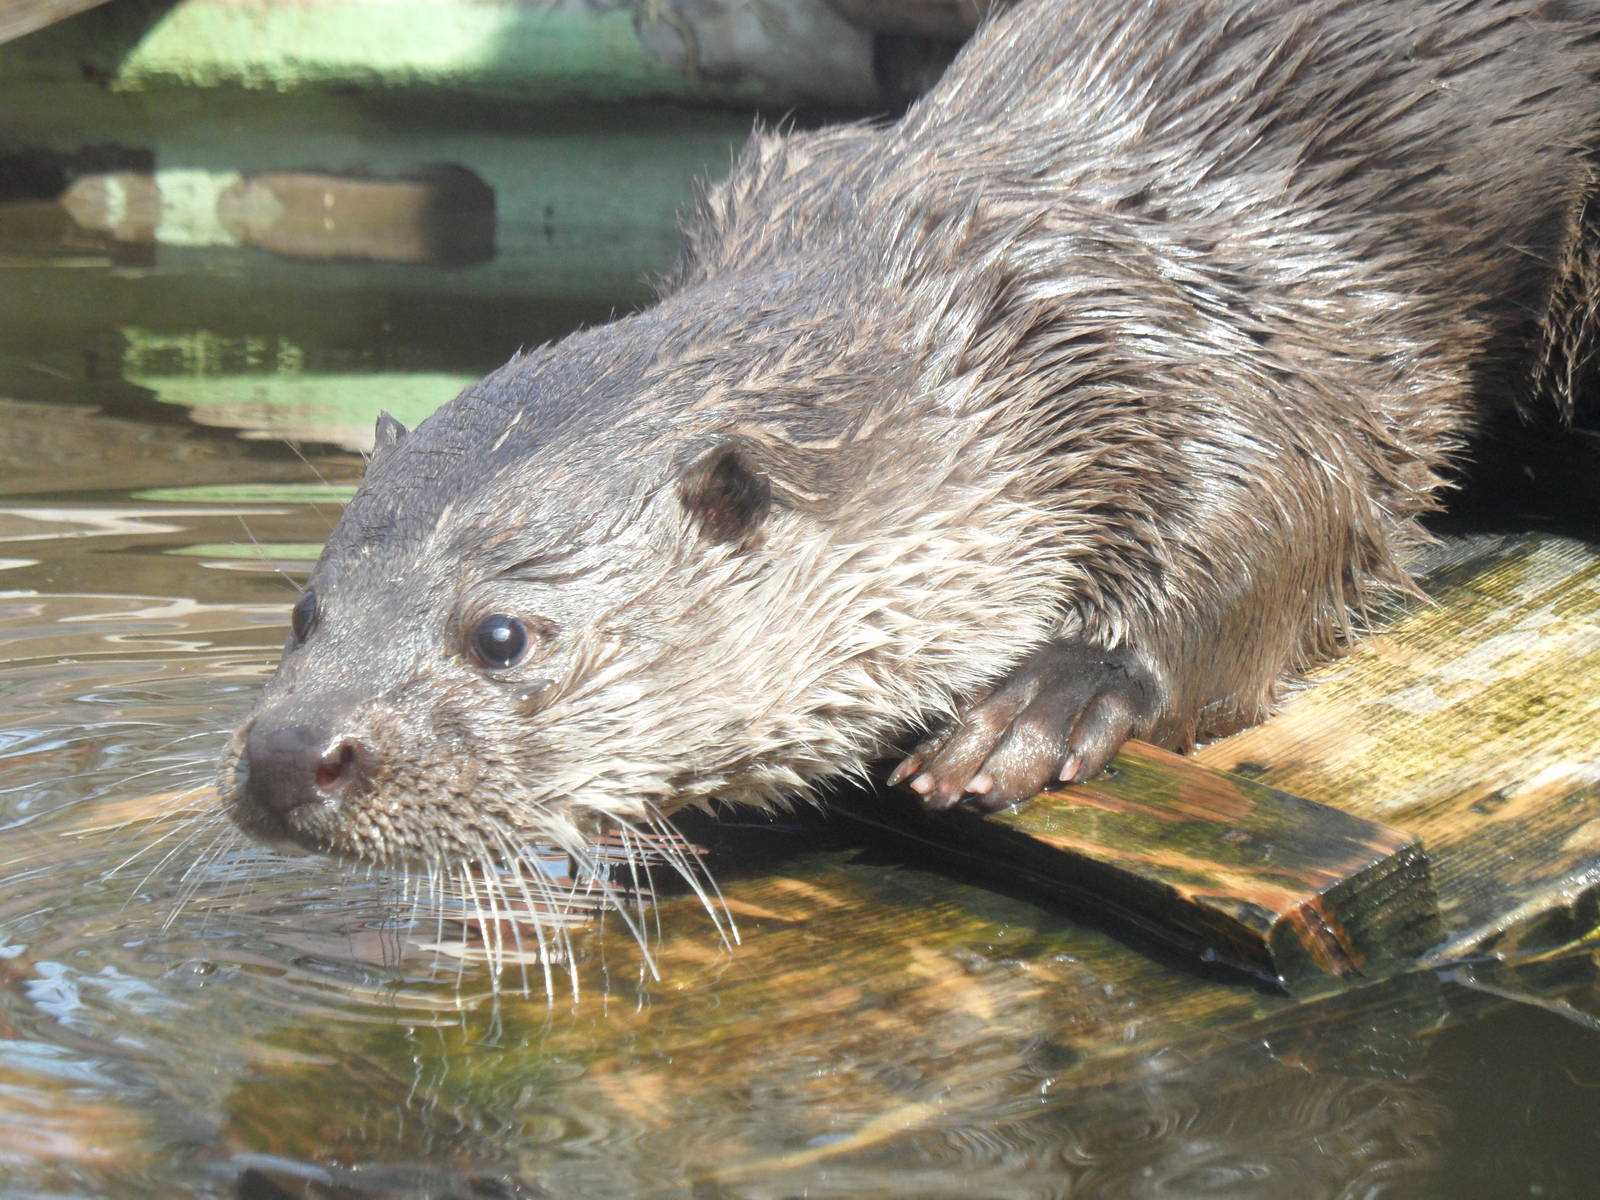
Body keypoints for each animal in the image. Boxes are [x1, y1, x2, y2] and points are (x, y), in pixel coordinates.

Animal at [224, 0, 1600, 872]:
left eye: (501, 637)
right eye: (304, 611)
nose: (289, 755)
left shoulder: (1224, 323)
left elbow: (1317, 487)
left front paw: (1053, 694)